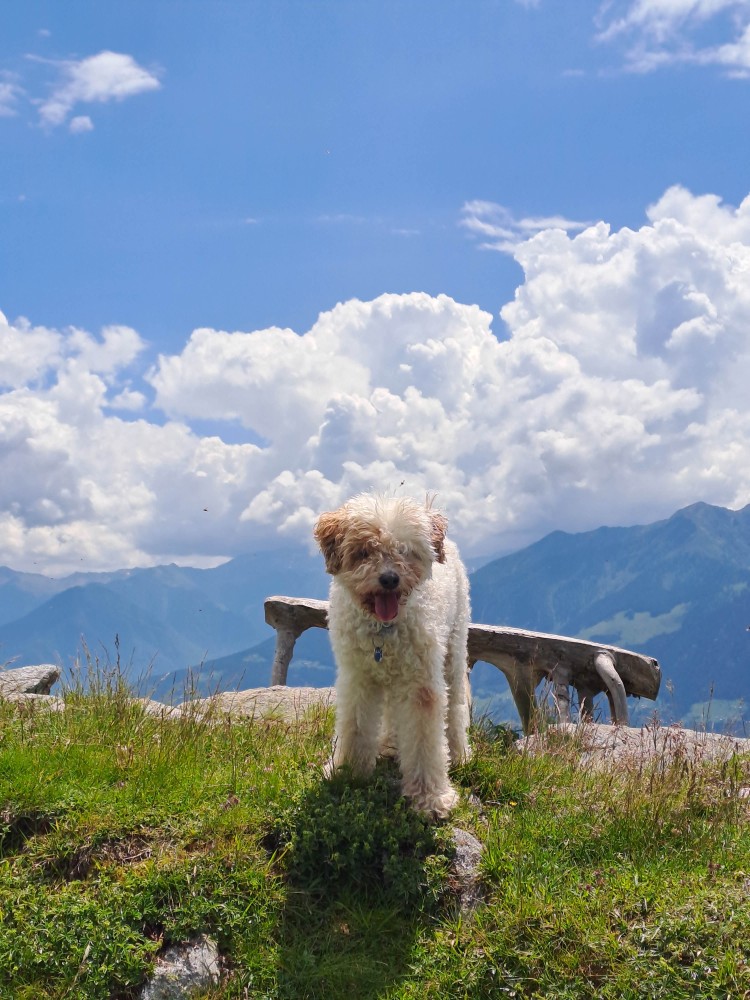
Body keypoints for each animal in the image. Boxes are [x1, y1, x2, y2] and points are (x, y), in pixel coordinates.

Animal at [314, 494, 472, 820]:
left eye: (405, 551)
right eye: (364, 551)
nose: (389, 579)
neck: (383, 631)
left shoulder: (421, 684)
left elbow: (425, 740)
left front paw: (430, 798)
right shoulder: (358, 677)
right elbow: (356, 725)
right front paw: (347, 771)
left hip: (453, 650)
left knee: (455, 708)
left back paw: (459, 753)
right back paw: (389, 745)